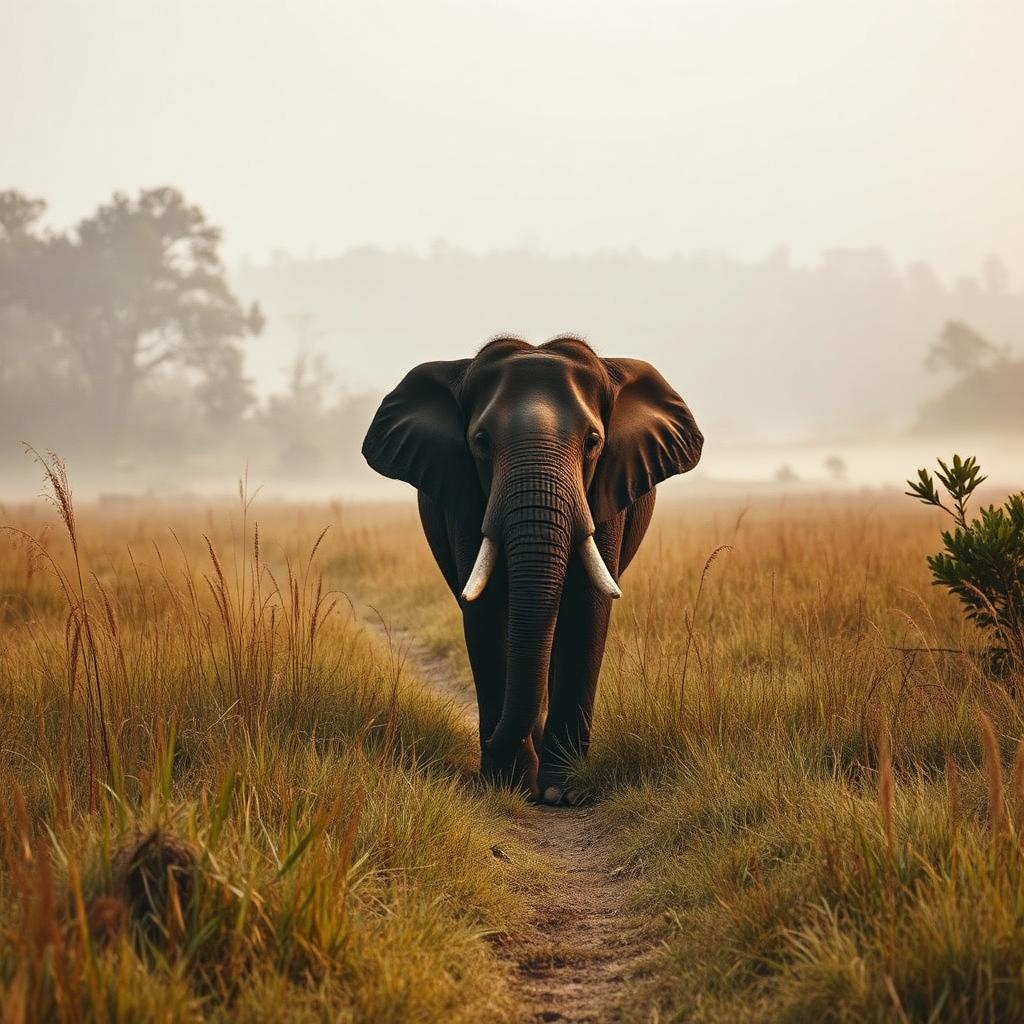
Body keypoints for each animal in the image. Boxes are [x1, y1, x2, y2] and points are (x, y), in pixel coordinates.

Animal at [361, 335, 702, 804]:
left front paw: (562, 793)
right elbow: (486, 612)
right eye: (481, 442)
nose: (489, 741)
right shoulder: (465, 494)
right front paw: (508, 783)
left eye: (593, 441)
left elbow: (586, 608)